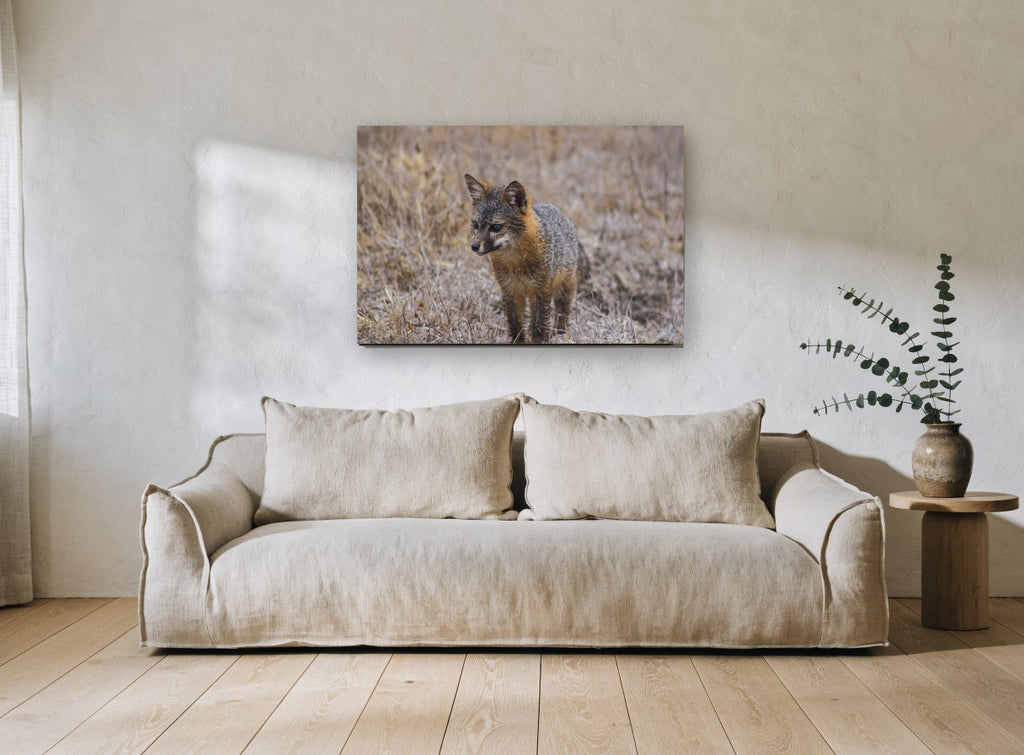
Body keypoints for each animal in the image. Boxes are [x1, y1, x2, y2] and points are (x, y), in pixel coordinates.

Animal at [464, 174, 590, 344]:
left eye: (496, 227)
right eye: (476, 225)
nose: (474, 246)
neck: (516, 264)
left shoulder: (541, 290)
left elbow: (539, 324)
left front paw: (539, 341)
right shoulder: (510, 290)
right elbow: (515, 324)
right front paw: (519, 342)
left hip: (563, 288)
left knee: (561, 314)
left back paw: (560, 334)